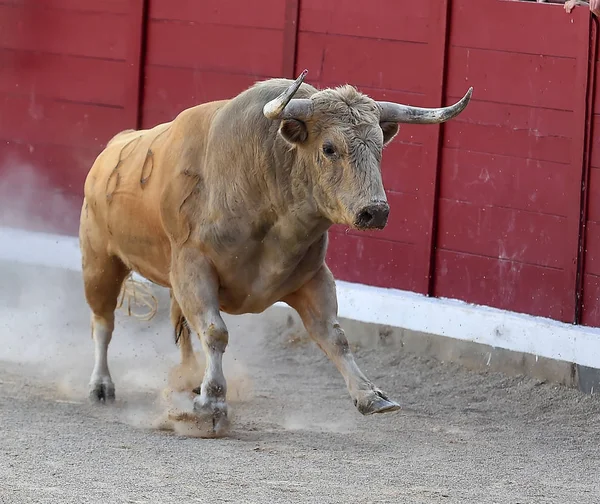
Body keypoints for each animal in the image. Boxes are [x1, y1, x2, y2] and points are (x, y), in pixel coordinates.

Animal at [81, 69, 474, 436]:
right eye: (329, 148)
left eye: (379, 146)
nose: (375, 211)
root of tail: (111, 149)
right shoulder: (193, 267)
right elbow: (215, 331)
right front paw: (211, 405)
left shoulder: (312, 276)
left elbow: (334, 336)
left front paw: (370, 395)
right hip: (99, 261)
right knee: (103, 322)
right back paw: (101, 386)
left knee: (180, 329)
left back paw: (187, 379)